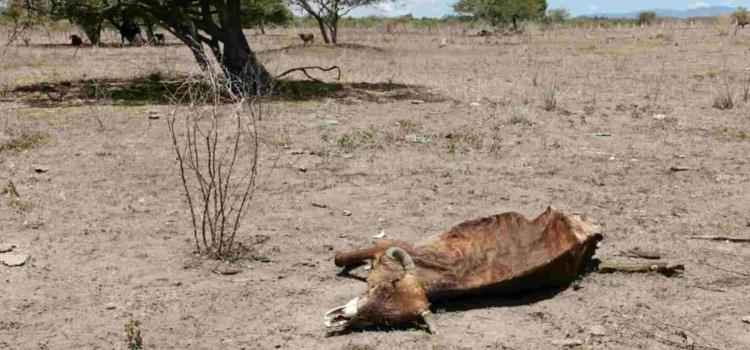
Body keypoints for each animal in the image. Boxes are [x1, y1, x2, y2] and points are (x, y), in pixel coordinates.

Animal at [326, 208, 604, 334]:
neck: (429, 279)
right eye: (379, 288)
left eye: (385, 322)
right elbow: (342, 259)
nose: (337, 318)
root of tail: (588, 232)